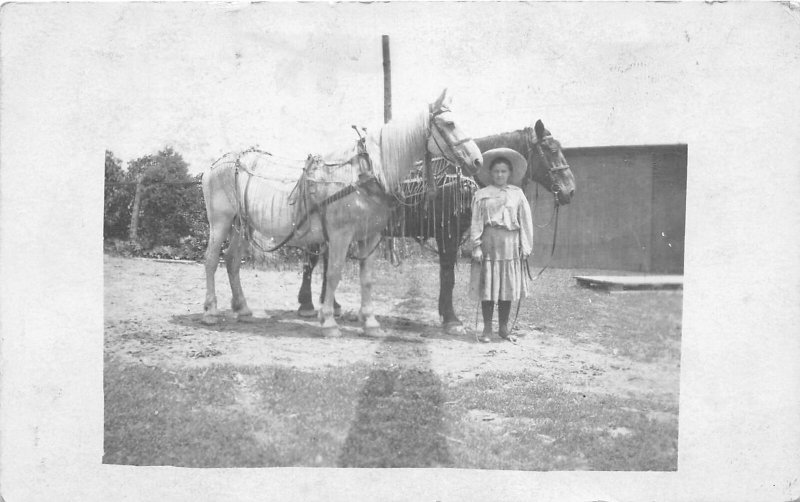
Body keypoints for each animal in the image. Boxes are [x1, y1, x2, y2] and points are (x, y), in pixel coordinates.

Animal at [203, 89, 484, 338]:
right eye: (449, 123)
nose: (477, 160)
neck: (366, 174)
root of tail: (218, 163)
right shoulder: (341, 234)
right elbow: (334, 272)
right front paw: (328, 322)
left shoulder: (370, 236)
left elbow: (367, 278)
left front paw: (370, 323)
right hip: (220, 222)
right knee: (211, 259)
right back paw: (211, 311)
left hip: (243, 226)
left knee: (232, 260)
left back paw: (243, 309)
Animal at [294, 118, 576, 334]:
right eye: (550, 149)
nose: (570, 191)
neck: (463, 177)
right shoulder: (448, 233)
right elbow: (448, 275)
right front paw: (451, 319)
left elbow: (446, 275)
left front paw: (445, 313)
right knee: (312, 260)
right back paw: (307, 305)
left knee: (326, 261)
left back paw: (331, 305)